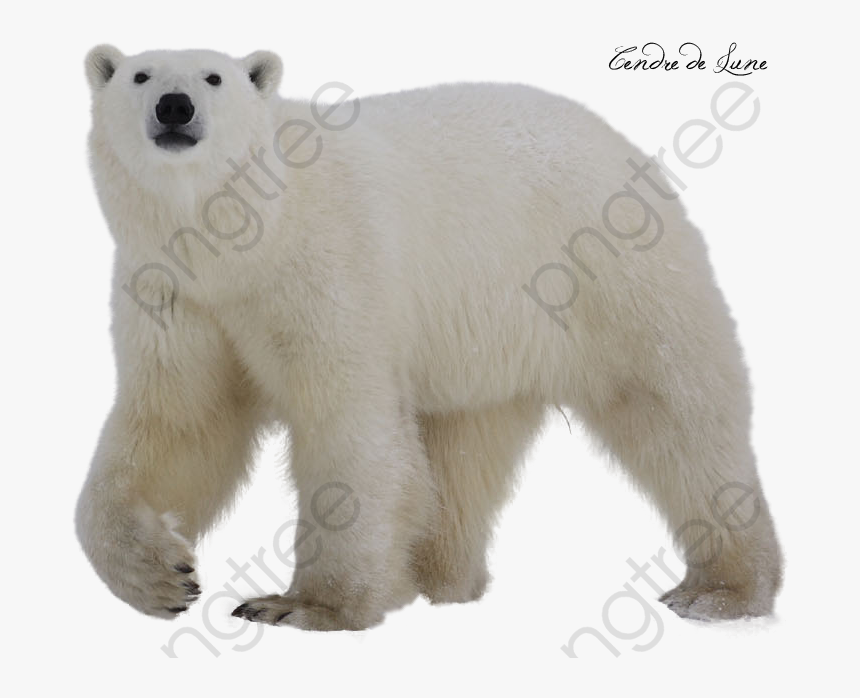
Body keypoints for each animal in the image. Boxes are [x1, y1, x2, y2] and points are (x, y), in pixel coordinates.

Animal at [77, 45, 782, 631]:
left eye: (213, 77)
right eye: (140, 75)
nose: (174, 106)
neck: (247, 238)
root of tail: (618, 140)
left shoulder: (326, 267)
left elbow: (349, 423)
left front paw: (302, 606)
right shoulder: (179, 295)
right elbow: (181, 423)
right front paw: (162, 577)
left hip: (609, 271)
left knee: (675, 412)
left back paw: (720, 592)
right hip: (487, 343)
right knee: (462, 452)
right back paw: (437, 577)